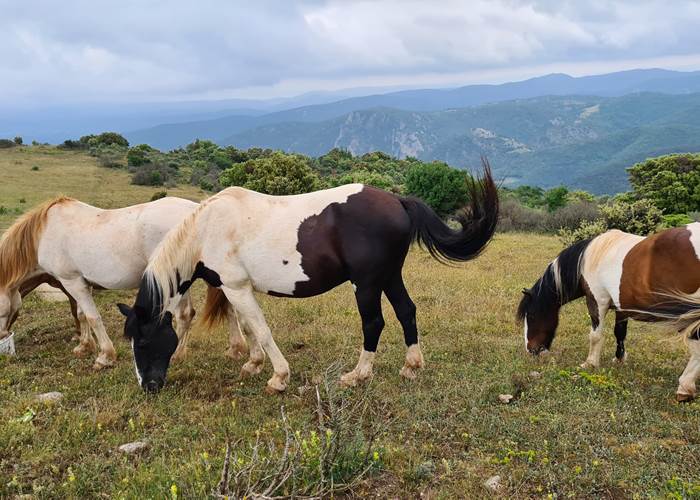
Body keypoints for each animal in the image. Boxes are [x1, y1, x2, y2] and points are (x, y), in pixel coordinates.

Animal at [0, 196, 249, 369]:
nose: (3, 339)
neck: (45, 233)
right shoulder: (77, 283)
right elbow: (81, 314)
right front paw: (84, 346)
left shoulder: (72, 282)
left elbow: (92, 317)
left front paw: (105, 356)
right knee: (229, 308)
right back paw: (236, 349)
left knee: (186, 314)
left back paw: (177, 354)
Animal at [117, 161, 499, 393]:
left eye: (144, 341)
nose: (148, 387)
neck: (207, 229)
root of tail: (398, 200)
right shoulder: (232, 287)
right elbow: (249, 327)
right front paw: (253, 364)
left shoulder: (236, 287)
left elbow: (261, 329)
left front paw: (278, 377)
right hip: (390, 276)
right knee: (407, 312)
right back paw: (411, 367)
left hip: (367, 284)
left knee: (373, 323)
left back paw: (357, 375)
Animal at [518, 224, 700, 401]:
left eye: (531, 316)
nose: (530, 350)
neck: (589, 258)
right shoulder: (621, 307)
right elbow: (620, 333)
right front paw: (619, 359)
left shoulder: (597, 301)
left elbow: (595, 336)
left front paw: (590, 363)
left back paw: (685, 387)